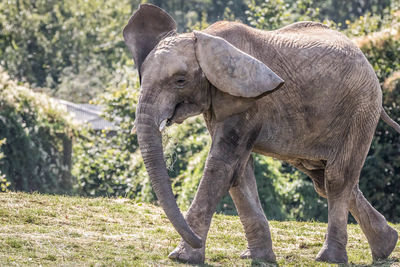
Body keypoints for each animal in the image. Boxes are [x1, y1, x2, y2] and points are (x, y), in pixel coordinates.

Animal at [123, 3, 398, 264]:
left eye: (180, 80)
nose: (196, 240)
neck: (207, 40)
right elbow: (240, 172)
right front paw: (258, 257)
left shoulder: (249, 99)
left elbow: (221, 166)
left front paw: (182, 257)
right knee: (323, 179)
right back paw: (387, 246)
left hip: (361, 108)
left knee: (336, 178)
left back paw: (330, 258)